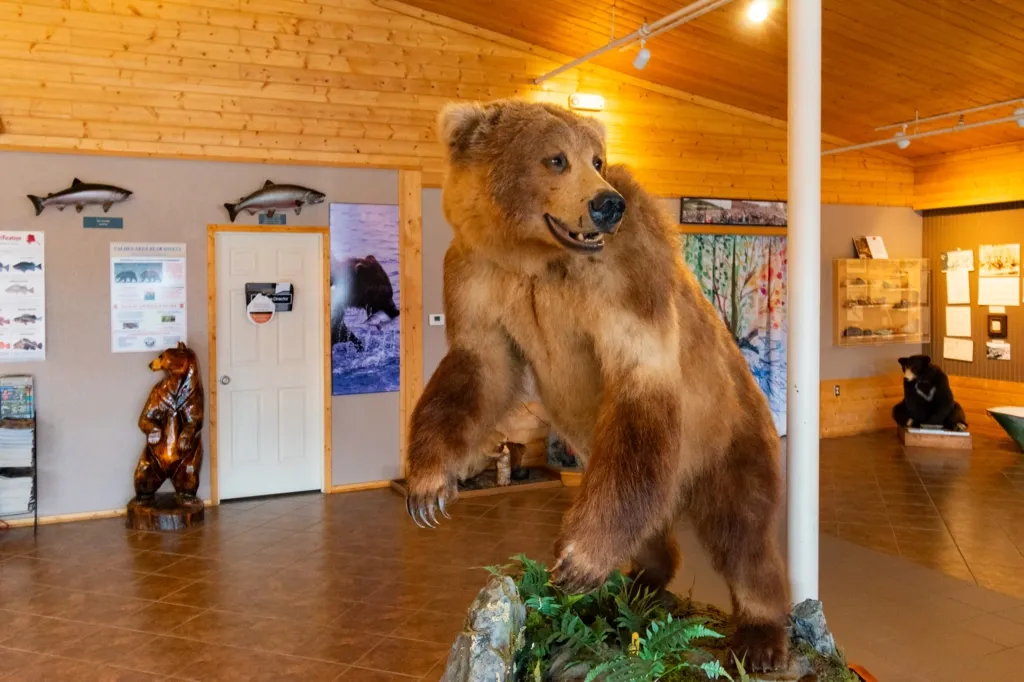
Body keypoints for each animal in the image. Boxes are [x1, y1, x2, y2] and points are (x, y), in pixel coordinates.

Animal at [403, 98, 786, 667]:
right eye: (556, 158)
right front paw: (428, 491)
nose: (607, 206)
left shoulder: (625, 278)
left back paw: (759, 637)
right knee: (649, 520)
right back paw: (643, 577)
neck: (536, 258)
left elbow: (639, 374)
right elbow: (478, 366)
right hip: (633, 472)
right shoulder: (477, 276)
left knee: (743, 530)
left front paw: (576, 560)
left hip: (725, 429)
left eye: (598, 159)